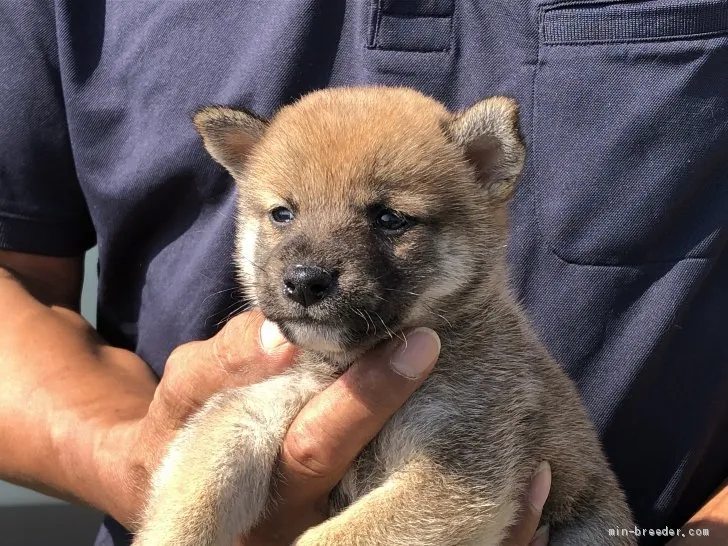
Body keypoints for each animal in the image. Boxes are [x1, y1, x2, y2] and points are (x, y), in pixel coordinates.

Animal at [134, 87, 636, 540]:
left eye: (389, 219)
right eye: (282, 213)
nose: (304, 281)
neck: (348, 363)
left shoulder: (459, 467)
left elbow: (335, 537)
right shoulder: (251, 408)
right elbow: (194, 495)